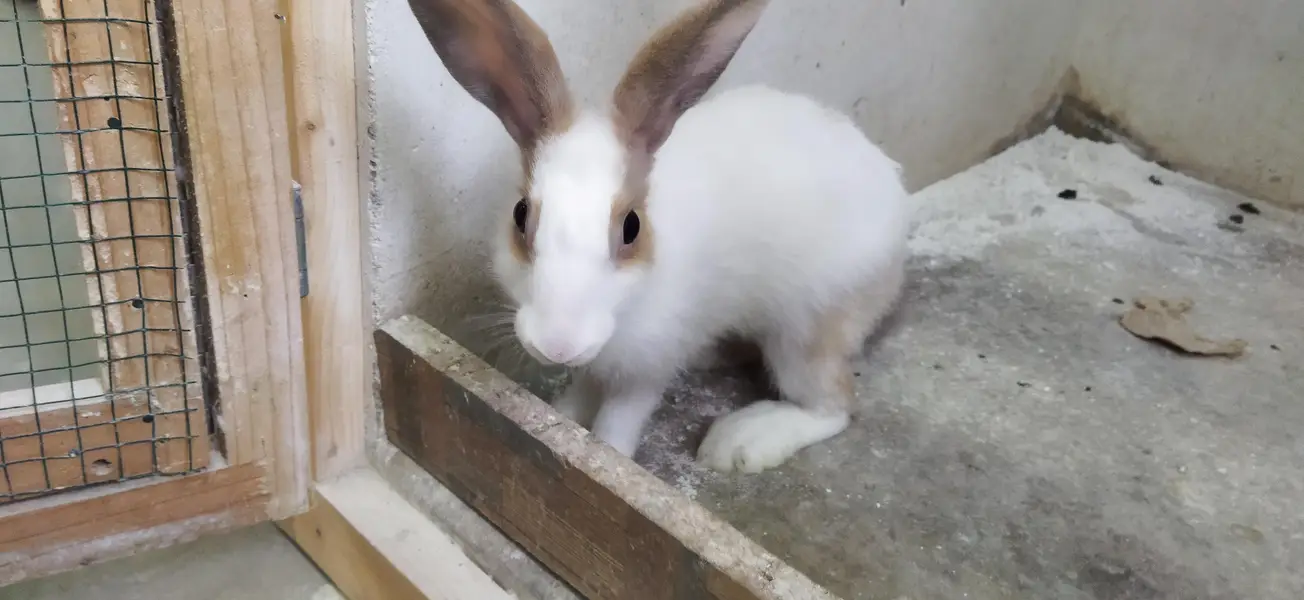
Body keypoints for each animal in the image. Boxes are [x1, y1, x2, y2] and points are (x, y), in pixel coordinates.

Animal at [408, 0, 909, 473]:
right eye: (520, 214)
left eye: (632, 227)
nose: (559, 345)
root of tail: (896, 196)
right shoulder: (595, 366)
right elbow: (578, 401)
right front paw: (565, 420)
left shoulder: (648, 367)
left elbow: (618, 423)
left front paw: (606, 453)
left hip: (807, 330)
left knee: (834, 406)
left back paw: (741, 441)